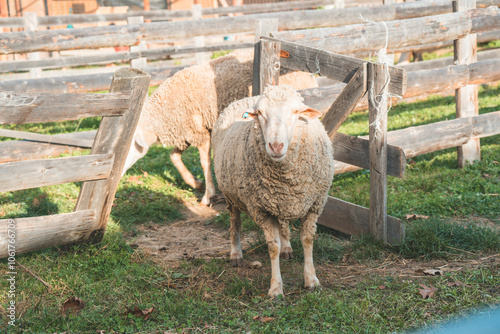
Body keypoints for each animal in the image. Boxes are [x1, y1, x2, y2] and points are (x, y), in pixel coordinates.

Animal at [122, 50, 316, 206]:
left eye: (128, 147)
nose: (119, 174)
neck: (162, 115)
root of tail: (308, 75)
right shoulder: (186, 133)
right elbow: (174, 157)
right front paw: (195, 183)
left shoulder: (199, 134)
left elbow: (205, 162)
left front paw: (208, 196)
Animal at [213, 85, 334, 296]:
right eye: (260, 113)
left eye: (295, 112)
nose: (276, 146)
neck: (285, 177)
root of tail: (245, 98)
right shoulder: (261, 209)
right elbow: (273, 248)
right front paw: (276, 288)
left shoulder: (314, 204)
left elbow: (307, 240)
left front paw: (311, 280)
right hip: (230, 196)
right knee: (235, 223)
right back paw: (236, 254)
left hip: (280, 202)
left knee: (283, 224)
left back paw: (287, 248)